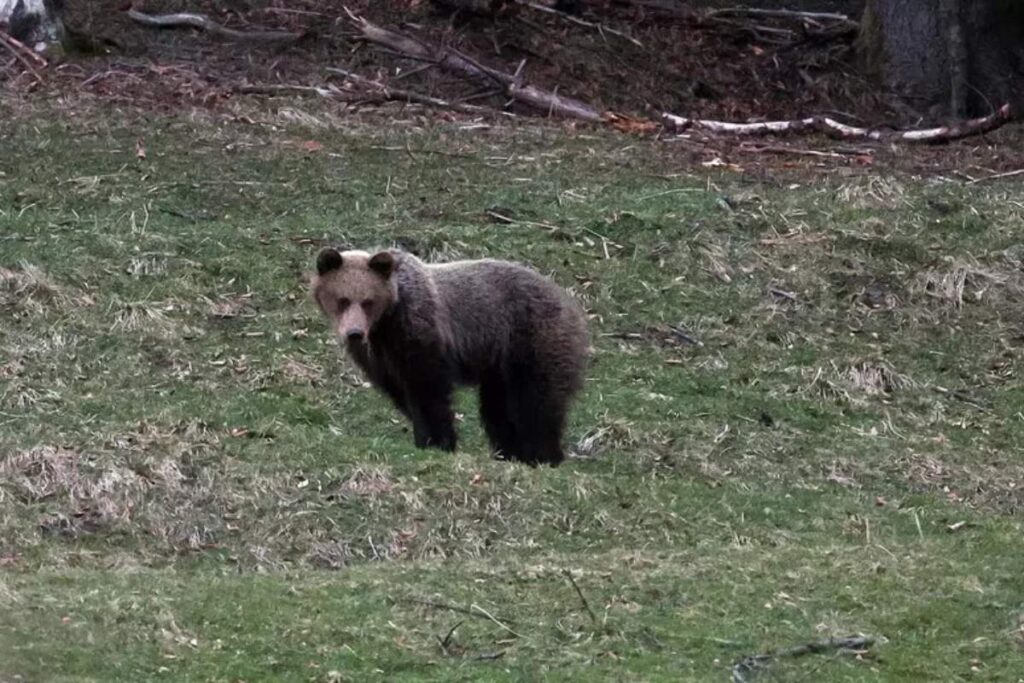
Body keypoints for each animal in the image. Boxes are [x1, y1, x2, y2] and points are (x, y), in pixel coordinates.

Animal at [311, 247, 588, 467]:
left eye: (368, 301)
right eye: (342, 299)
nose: (354, 334)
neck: (384, 326)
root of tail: (570, 301)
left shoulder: (420, 331)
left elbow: (429, 390)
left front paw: (438, 441)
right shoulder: (379, 359)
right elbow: (402, 393)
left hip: (531, 339)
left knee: (537, 401)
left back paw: (543, 455)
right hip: (497, 366)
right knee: (498, 409)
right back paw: (510, 452)